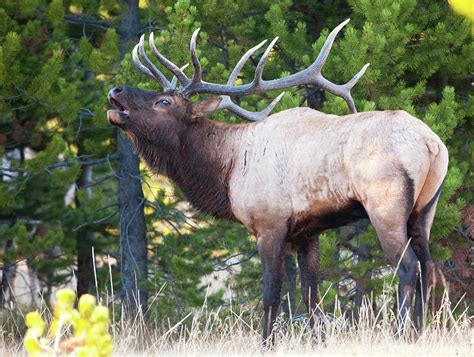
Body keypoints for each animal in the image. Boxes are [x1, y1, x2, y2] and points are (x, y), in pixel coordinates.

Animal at [107, 20, 448, 344]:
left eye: (164, 102)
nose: (116, 90)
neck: (228, 169)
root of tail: (431, 143)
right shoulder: (308, 232)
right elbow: (311, 296)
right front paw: (317, 341)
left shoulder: (269, 224)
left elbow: (272, 294)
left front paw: (266, 343)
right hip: (424, 211)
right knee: (429, 268)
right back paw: (419, 333)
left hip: (385, 205)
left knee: (409, 268)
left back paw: (401, 334)